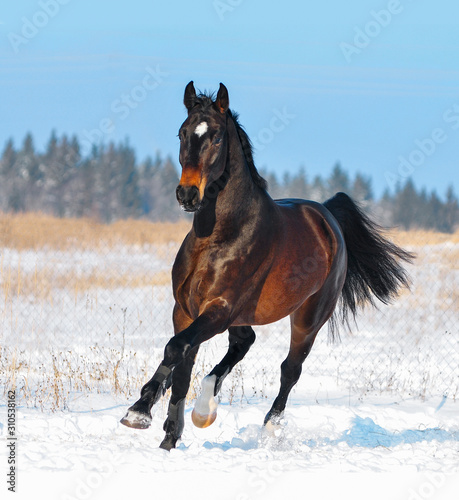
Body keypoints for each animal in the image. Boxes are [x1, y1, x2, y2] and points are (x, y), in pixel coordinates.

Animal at [120, 81, 416, 450]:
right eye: (182, 133)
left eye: (216, 137)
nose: (187, 195)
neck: (219, 235)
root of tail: (327, 215)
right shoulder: (187, 310)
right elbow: (180, 364)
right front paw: (164, 436)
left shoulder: (219, 309)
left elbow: (176, 350)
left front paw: (140, 413)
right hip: (241, 316)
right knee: (243, 343)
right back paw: (205, 409)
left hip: (307, 318)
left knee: (290, 369)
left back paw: (269, 428)